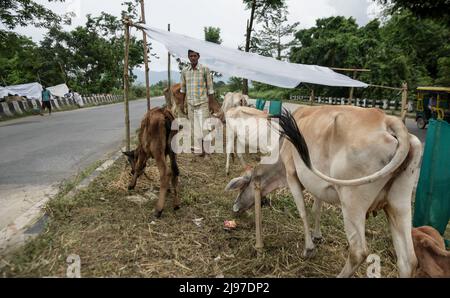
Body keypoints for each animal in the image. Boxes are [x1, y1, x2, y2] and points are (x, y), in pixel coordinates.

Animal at [227, 105, 424, 278]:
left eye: (243, 187)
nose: (235, 207)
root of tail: (388, 120)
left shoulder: (291, 174)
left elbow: (303, 211)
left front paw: (308, 248)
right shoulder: (318, 187)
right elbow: (317, 208)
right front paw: (317, 236)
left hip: (352, 202)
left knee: (358, 251)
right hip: (398, 203)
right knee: (408, 261)